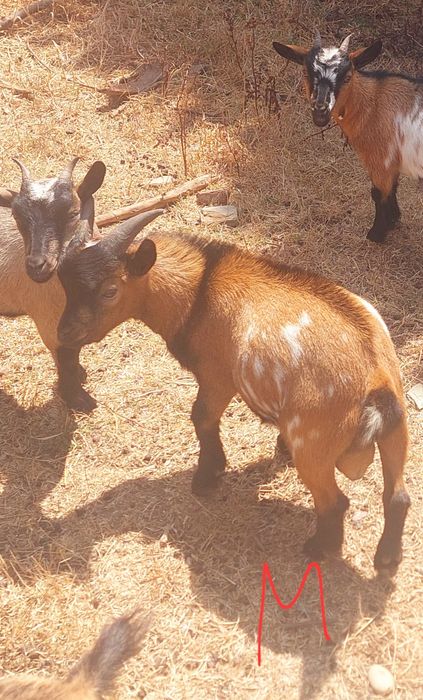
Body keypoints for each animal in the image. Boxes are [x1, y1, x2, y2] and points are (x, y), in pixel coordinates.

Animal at [0, 160, 105, 411]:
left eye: (73, 213)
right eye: (16, 217)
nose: (37, 266)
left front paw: (79, 377)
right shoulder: (49, 319)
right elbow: (66, 358)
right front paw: (78, 399)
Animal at [56, 211, 411, 572]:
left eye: (110, 291)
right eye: (65, 286)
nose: (64, 333)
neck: (198, 293)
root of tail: (375, 380)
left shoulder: (217, 377)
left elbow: (201, 418)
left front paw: (207, 477)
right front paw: (275, 449)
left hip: (314, 443)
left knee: (335, 502)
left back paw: (318, 548)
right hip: (398, 430)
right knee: (397, 497)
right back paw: (387, 557)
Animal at [273, 32, 423, 242]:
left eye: (347, 77)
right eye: (306, 73)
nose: (320, 110)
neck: (374, 104)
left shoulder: (380, 160)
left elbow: (379, 193)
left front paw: (376, 234)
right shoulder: (391, 163)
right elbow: (393, 188)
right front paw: (393, 221)